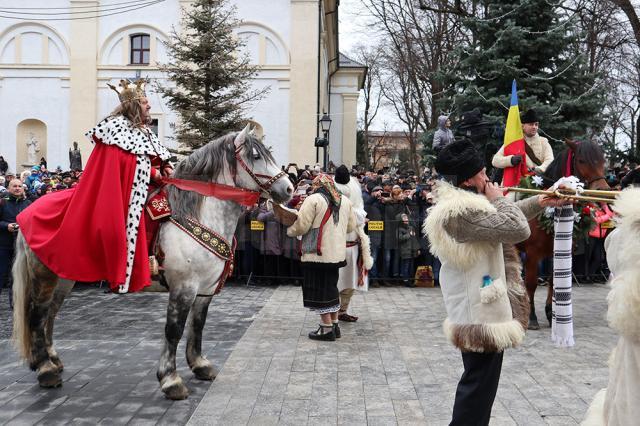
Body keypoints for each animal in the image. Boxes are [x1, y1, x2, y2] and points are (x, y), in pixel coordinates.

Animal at [11, 126, 292, 400]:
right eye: (256, 156)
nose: (288, 189)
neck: (197, 214)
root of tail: (27, 212)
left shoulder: (205, 290)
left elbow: (198, 325)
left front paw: (200, 365)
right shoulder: (183, 287)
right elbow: (174, 330)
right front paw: (170, 379)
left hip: (64, 277)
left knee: (51, 313)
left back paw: (53, 360)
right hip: (45, 276)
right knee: (37, 315)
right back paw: (46, 370)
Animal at [516, 139, 608, 330]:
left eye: (603, 161)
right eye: (581, 160)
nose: (602, 190)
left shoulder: (556, 250)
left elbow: (553, 280)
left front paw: (550, 314)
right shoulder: (532, 254)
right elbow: (531, 283)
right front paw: (532, 317)